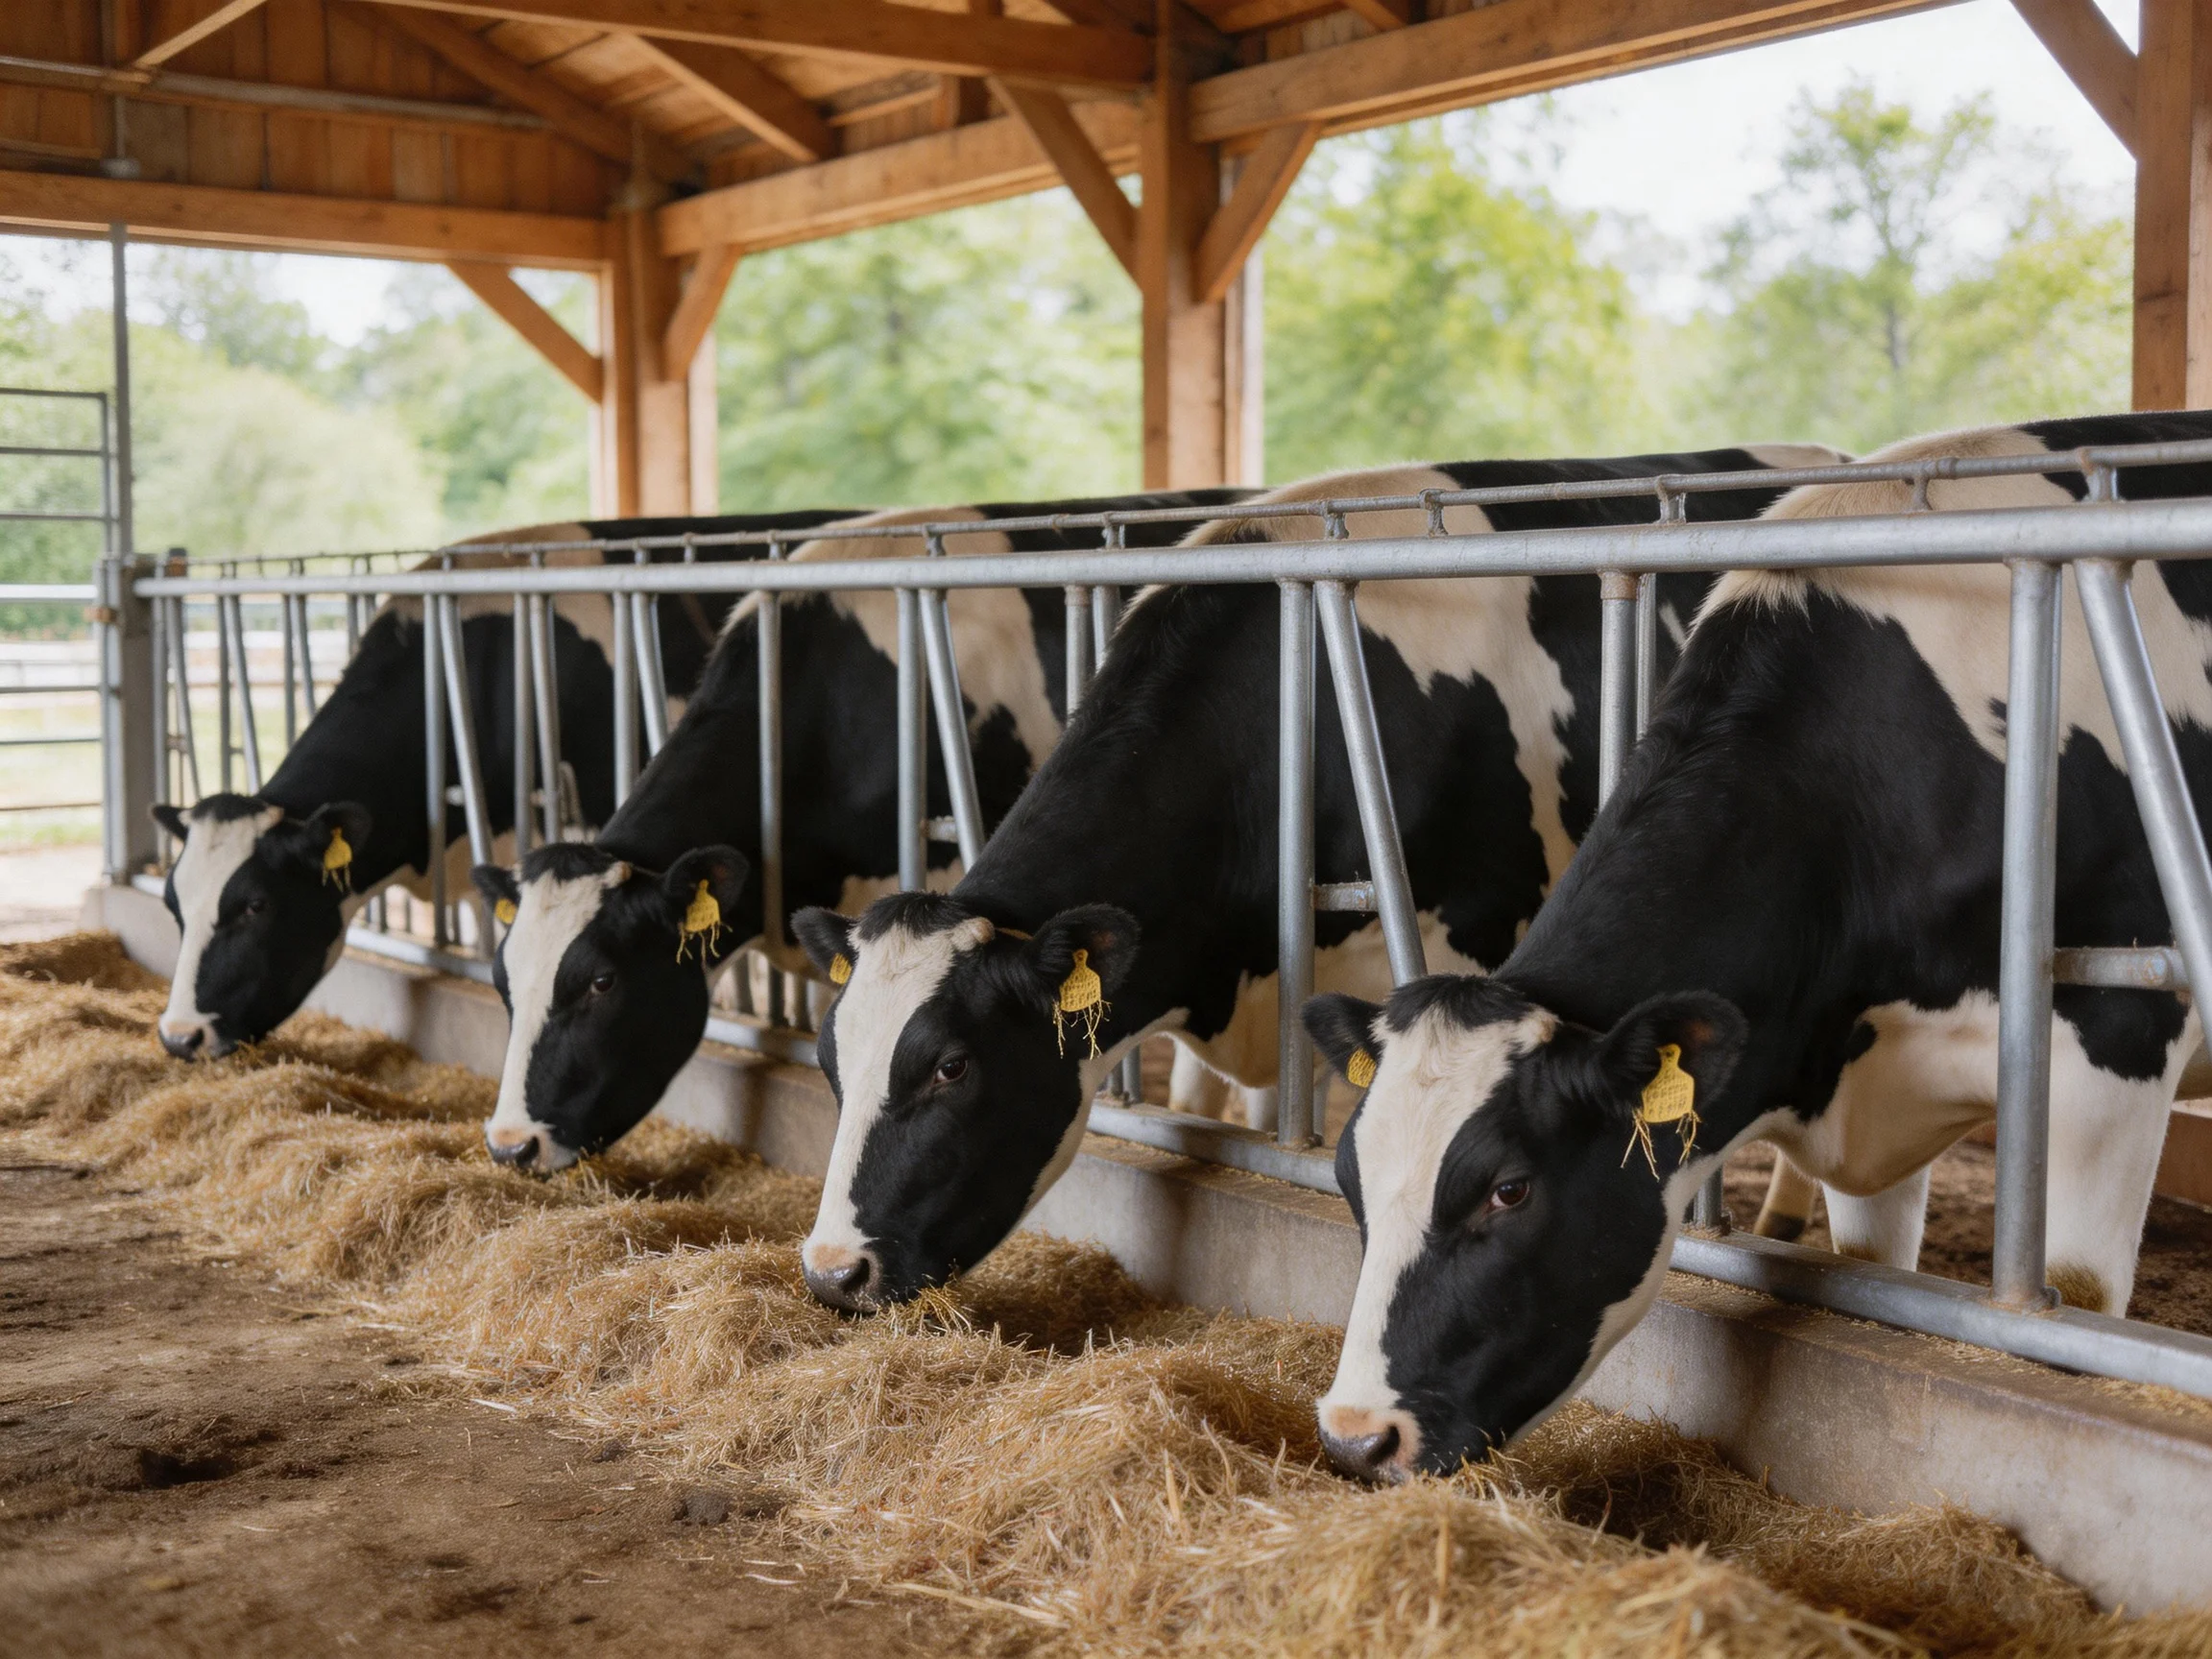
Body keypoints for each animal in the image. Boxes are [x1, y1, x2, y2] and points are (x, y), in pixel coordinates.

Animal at [1299, 411, 2212, 1483]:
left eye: (1507, 1189)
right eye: (1349, 1175)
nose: (1355, 1434)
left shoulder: (2118, 1040)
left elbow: (2077, 1294)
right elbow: (1872, 1266)